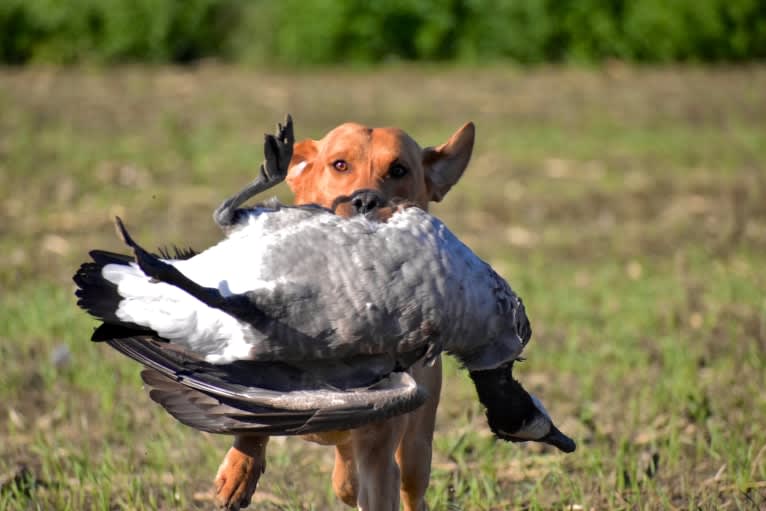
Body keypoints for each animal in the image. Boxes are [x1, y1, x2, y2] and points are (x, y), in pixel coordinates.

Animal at [212, 121, 474, 511]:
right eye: (339, 165)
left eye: (399, 170)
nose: (365, 200)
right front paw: (238, 473)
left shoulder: (380, 454)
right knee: (346, 478)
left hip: (416, 448)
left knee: (408, 487)